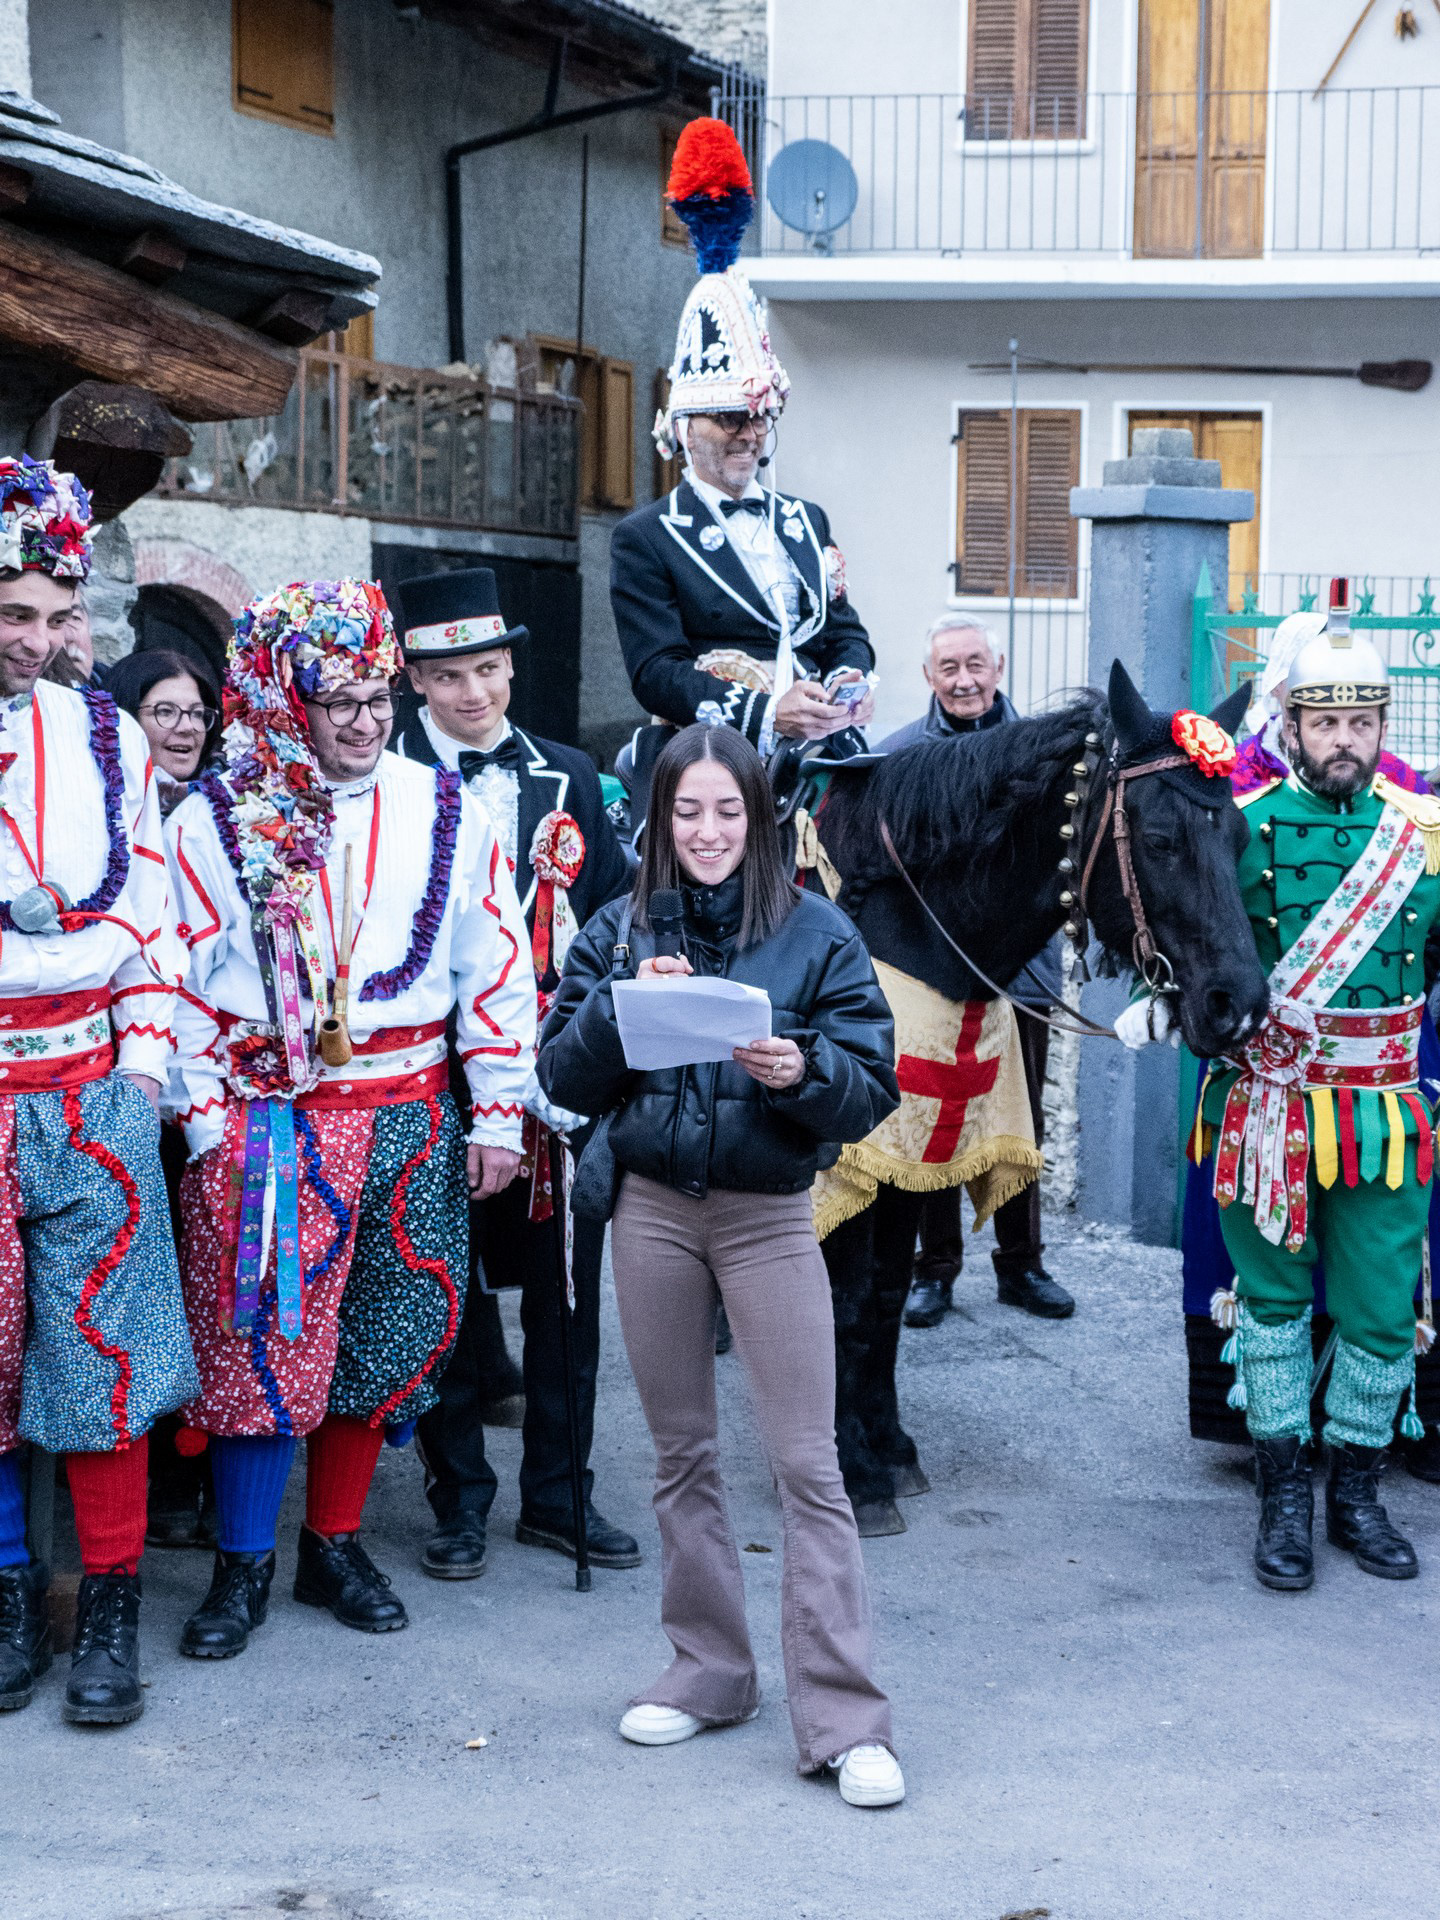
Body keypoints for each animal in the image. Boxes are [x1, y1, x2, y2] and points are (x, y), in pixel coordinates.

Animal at [807, 660, 1272, 1534]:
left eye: (1237, 837)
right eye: (1160, 841)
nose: (1240, 1006)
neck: (900, 917)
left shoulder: (907, 1158)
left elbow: (883, 1297)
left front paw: (889, 1445)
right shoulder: (853, 1157)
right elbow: (848, 1301)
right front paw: (854, 1469)